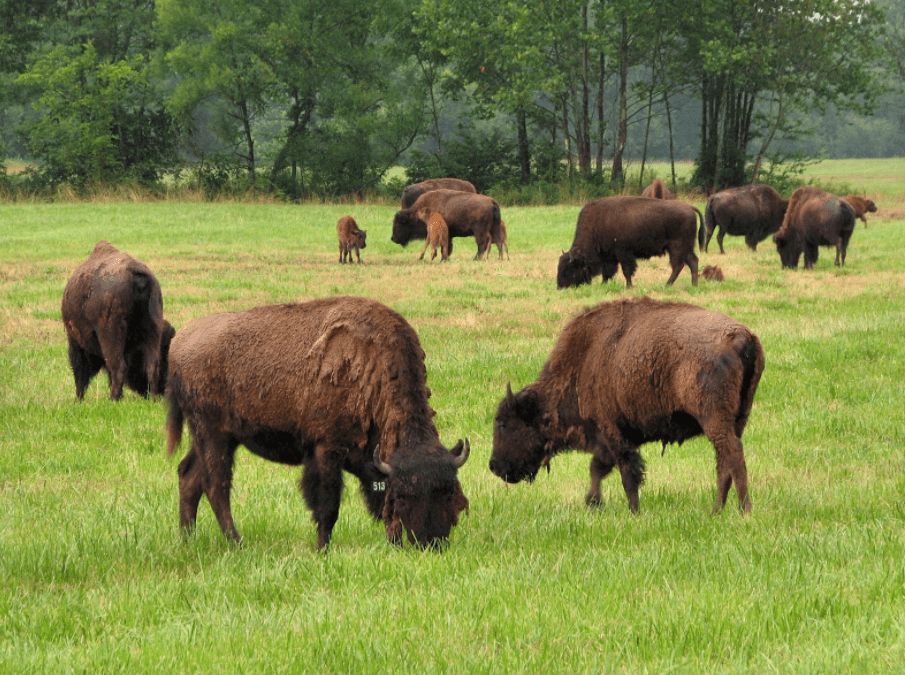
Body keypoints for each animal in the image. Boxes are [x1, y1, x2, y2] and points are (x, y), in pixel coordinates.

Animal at [62, 240, 174, 401]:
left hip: (110, 333)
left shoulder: (75, 340)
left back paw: (113, 400)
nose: (162, 391)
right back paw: (151, 398)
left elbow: (80, 371)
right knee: (152, 365)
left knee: (118, 367)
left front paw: (79, 399)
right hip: (152, 328)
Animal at [166, 296, 470, 550]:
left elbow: (379, 501)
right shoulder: (326, 449)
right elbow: (328, 505)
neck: (372, 366)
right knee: (215, 485)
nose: (431, 543)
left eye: (448, 493)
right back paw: (236, 543)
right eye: (405, 496)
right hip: (213, 435)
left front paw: (393, 544)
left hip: (217, 438)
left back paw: (188, 540)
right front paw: (322, 549)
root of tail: (178, 344)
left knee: (189, 476)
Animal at [490, 297, 764, 514]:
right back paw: (717, 511)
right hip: (738, 417)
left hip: (713, 418)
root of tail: (743, 336)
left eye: (503, 424)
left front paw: (632, 510)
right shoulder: (610, 438)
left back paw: (744, 510)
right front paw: (593, 503)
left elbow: (626, 473)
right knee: (724, 461)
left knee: (732, 455)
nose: (493, 466)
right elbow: (598, 468)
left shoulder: (611, 430)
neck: (584, 362)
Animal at [557, 196, 700, 289]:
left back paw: (667, 285)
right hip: (686, 248)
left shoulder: (623, 253)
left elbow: (626, 270)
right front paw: (603, 285)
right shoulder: (609, 256)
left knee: (678, 265)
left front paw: (629, 286)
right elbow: (607, 272)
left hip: (676, 247)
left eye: (569, 268)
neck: (596, 224)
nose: (560, 286)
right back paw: (693, 285)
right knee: (692, 261)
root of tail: (689, 207)